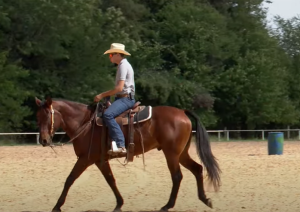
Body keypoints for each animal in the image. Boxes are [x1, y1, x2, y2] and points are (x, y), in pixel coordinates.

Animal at [35, 96, 221, 212]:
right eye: (38, 117)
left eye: (47, 116)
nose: (43, 140)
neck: (85, 122)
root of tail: (182, 112)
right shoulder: (100, 160)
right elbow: (111, 180)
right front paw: (119, 204)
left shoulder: (85, 159)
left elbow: (70, 179)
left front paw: (57, 206)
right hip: (181, 154)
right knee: (197, 169)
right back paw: (205, 199)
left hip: (172, 154)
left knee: (177, 176)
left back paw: (167, 205)